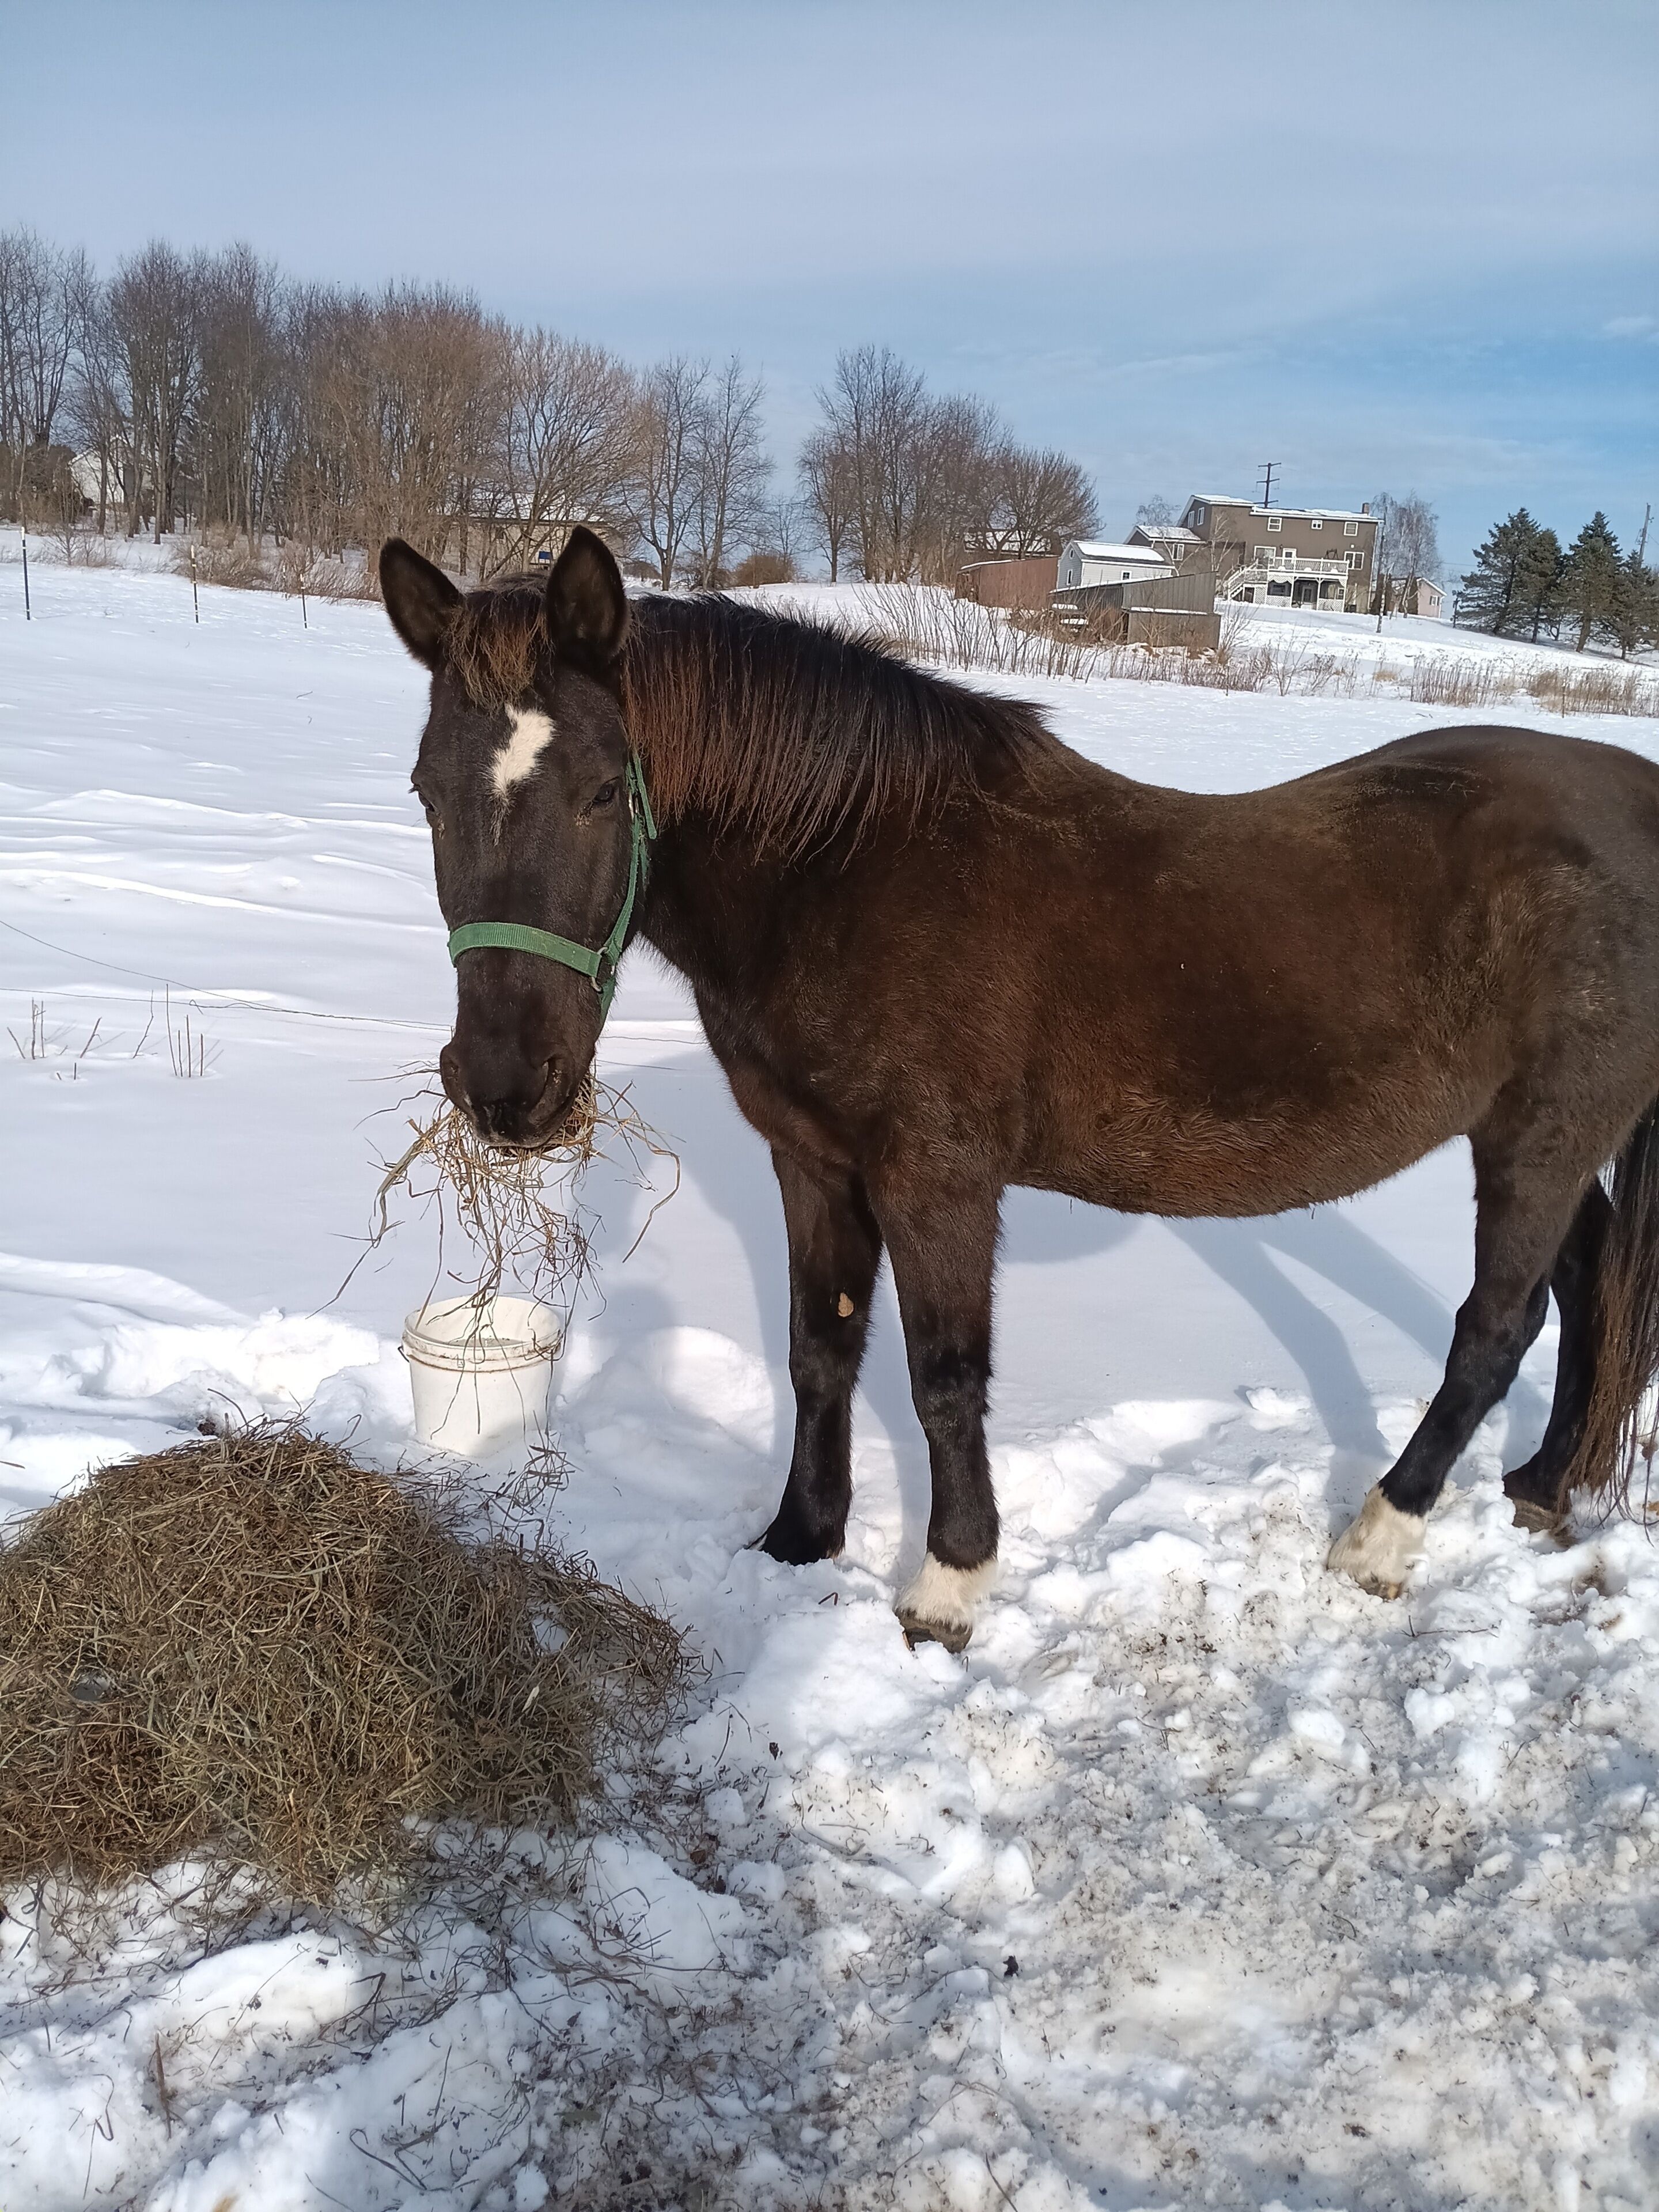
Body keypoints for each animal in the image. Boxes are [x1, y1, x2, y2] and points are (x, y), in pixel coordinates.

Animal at [378, 526, 1659, 1652]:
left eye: (603, 790)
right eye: (427, 791)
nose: (505, 1088)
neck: (848, 866)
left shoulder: (936, 1177)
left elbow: (943, 1377)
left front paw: (948, 1586)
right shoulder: (813, 1159)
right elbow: (819, 1348)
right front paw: (801, 1539)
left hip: (1541, 1137)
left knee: (1497, 1327)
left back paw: (1381, 1537)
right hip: (1539, 1137)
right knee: (1591, 1286)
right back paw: (1541, 1485)